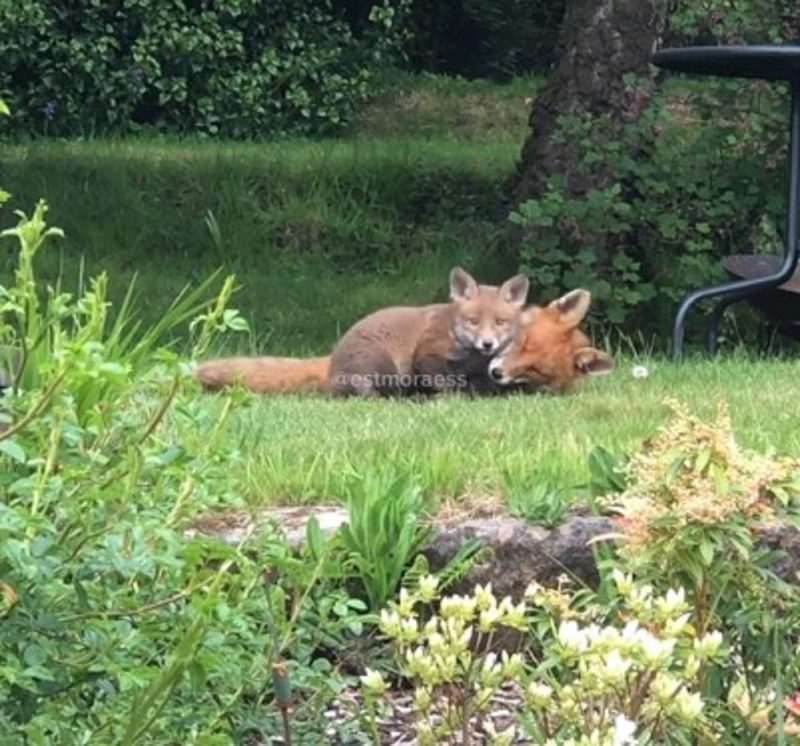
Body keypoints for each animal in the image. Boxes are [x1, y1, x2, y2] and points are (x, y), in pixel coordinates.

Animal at [194, 266, 532, 396]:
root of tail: (331, 361)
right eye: (473, 320)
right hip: (382, 367)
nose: (487, 344)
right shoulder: (426, 354)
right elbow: (440, 381)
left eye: (500, 322)